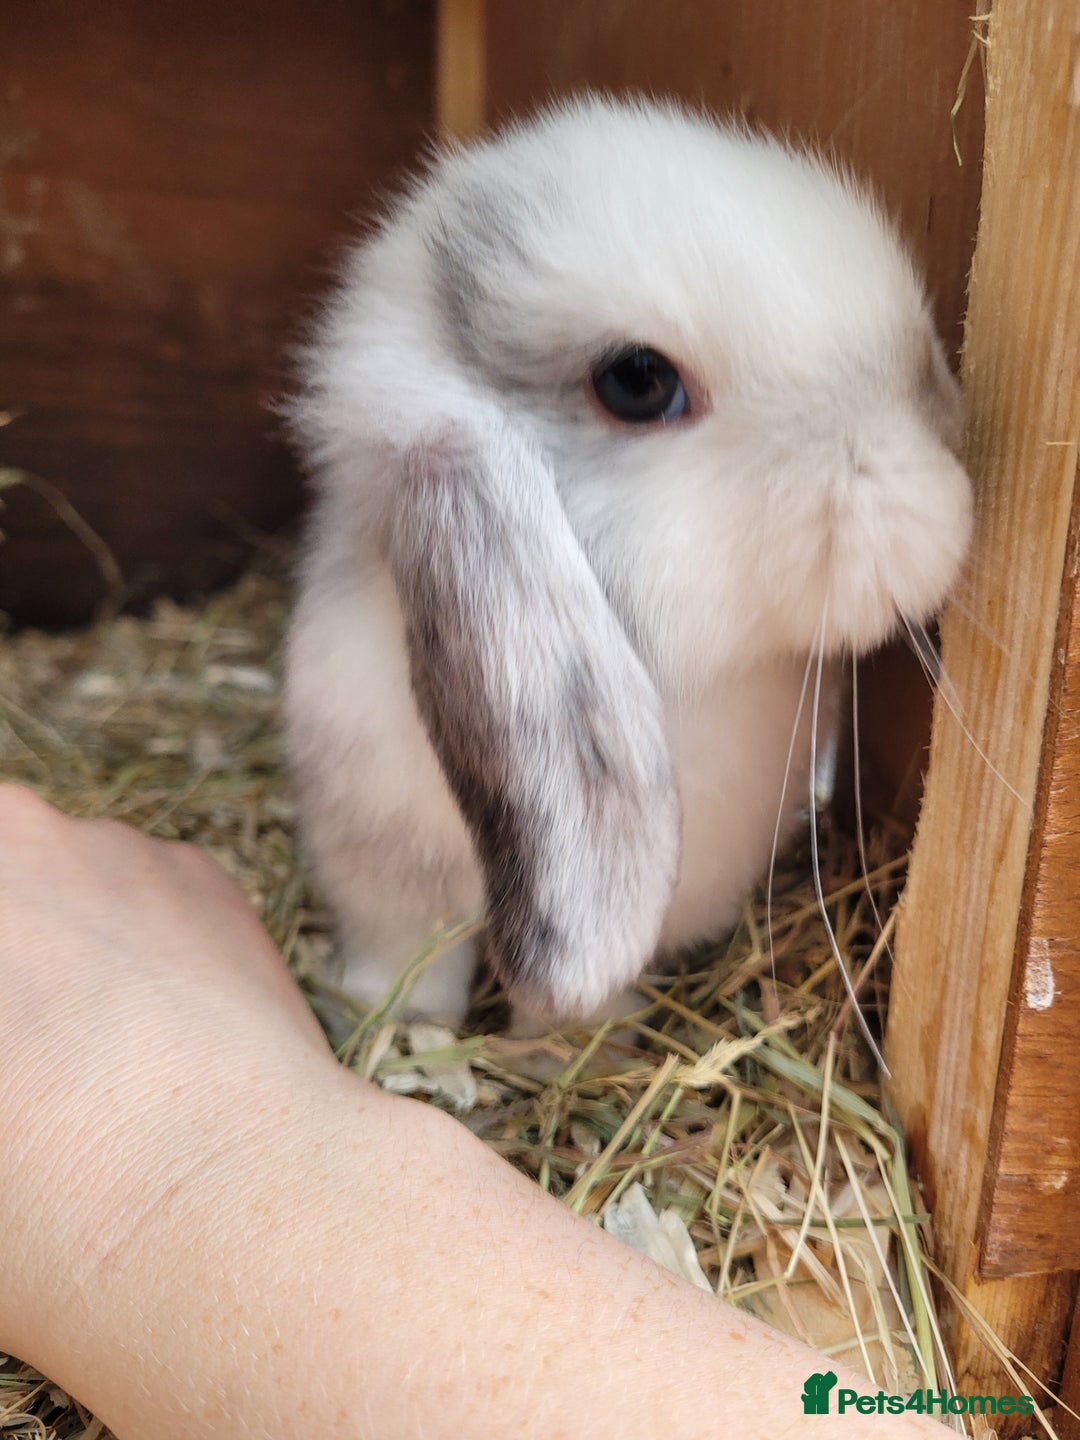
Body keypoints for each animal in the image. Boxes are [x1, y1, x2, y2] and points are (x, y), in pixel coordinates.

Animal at [283, 94, 973, 1027]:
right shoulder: (381, 875)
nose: (945, 423)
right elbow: (405, 961)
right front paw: (400, 1028)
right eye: (639, 382)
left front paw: (576, 1042)